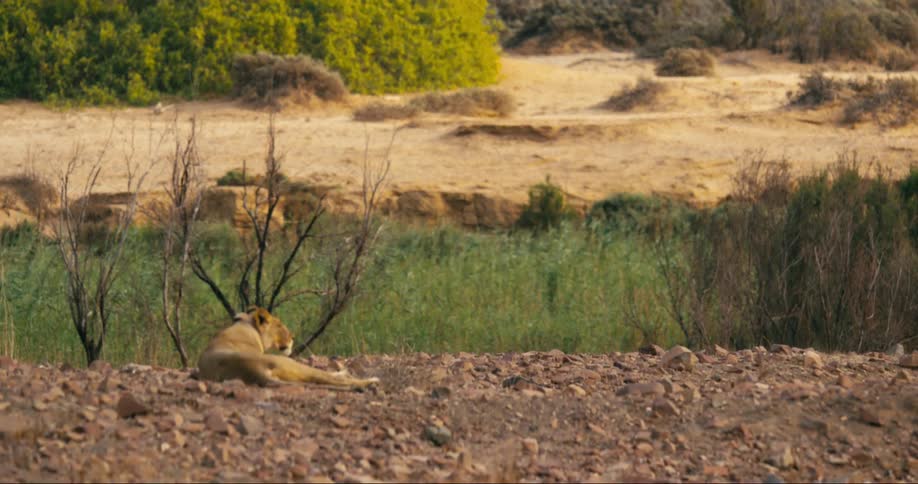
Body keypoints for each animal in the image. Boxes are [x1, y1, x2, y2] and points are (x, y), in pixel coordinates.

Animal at [197, 307, 379, 389]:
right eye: (279, 325)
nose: (293, 338)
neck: (245, 327)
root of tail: (253, 370)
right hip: (290, 363)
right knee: (326, 377)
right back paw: (370, 380)